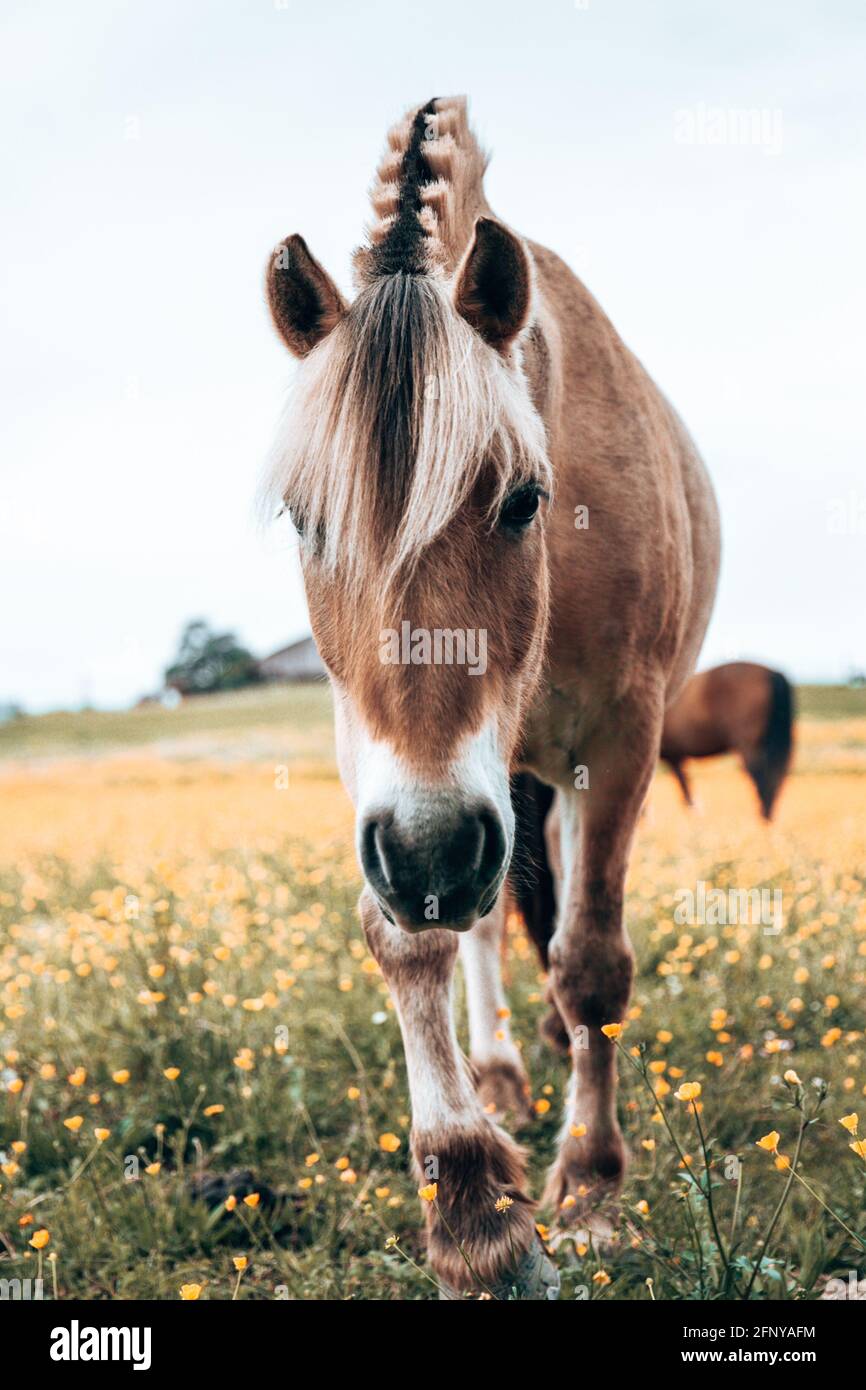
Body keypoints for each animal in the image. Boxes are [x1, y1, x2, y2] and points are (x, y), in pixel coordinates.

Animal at [263, 96, 720, 1298]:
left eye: (522, 500)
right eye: (303, 519)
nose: (430, 848)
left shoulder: (620, 737)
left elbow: (593, 960)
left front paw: (591, 1186)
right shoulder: (376, 761)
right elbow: (413, 942)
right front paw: (476, 1211)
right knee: (484, 928)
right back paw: (505, 1065)